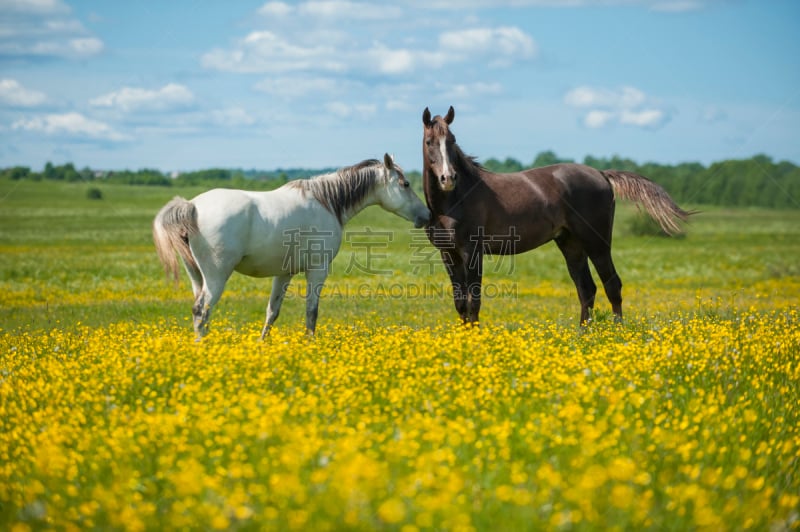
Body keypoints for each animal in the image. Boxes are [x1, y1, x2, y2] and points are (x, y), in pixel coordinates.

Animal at [156, 154, 432, 338]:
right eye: (406, 184)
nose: (427, 215)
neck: (327, 201)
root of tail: (192, 206)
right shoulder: (318, 270)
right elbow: (312, 312)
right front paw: (310, 344)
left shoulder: (283, 273)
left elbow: (272, 312)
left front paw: (262, 345)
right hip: (216, 277)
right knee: (201, 310)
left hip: (196, 275)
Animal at [422, 105, 692, 324]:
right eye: (429, 142)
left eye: (452, 140)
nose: (448, 178)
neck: (457, 199)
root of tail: (602, 174)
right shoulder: (449, 254)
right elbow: (460, 304)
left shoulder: (472, 252)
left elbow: (473, 302)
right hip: (571, 243)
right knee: (587, 289)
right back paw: (583, 334)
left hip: (597, 243)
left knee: (612, 285)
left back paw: (617, 333)